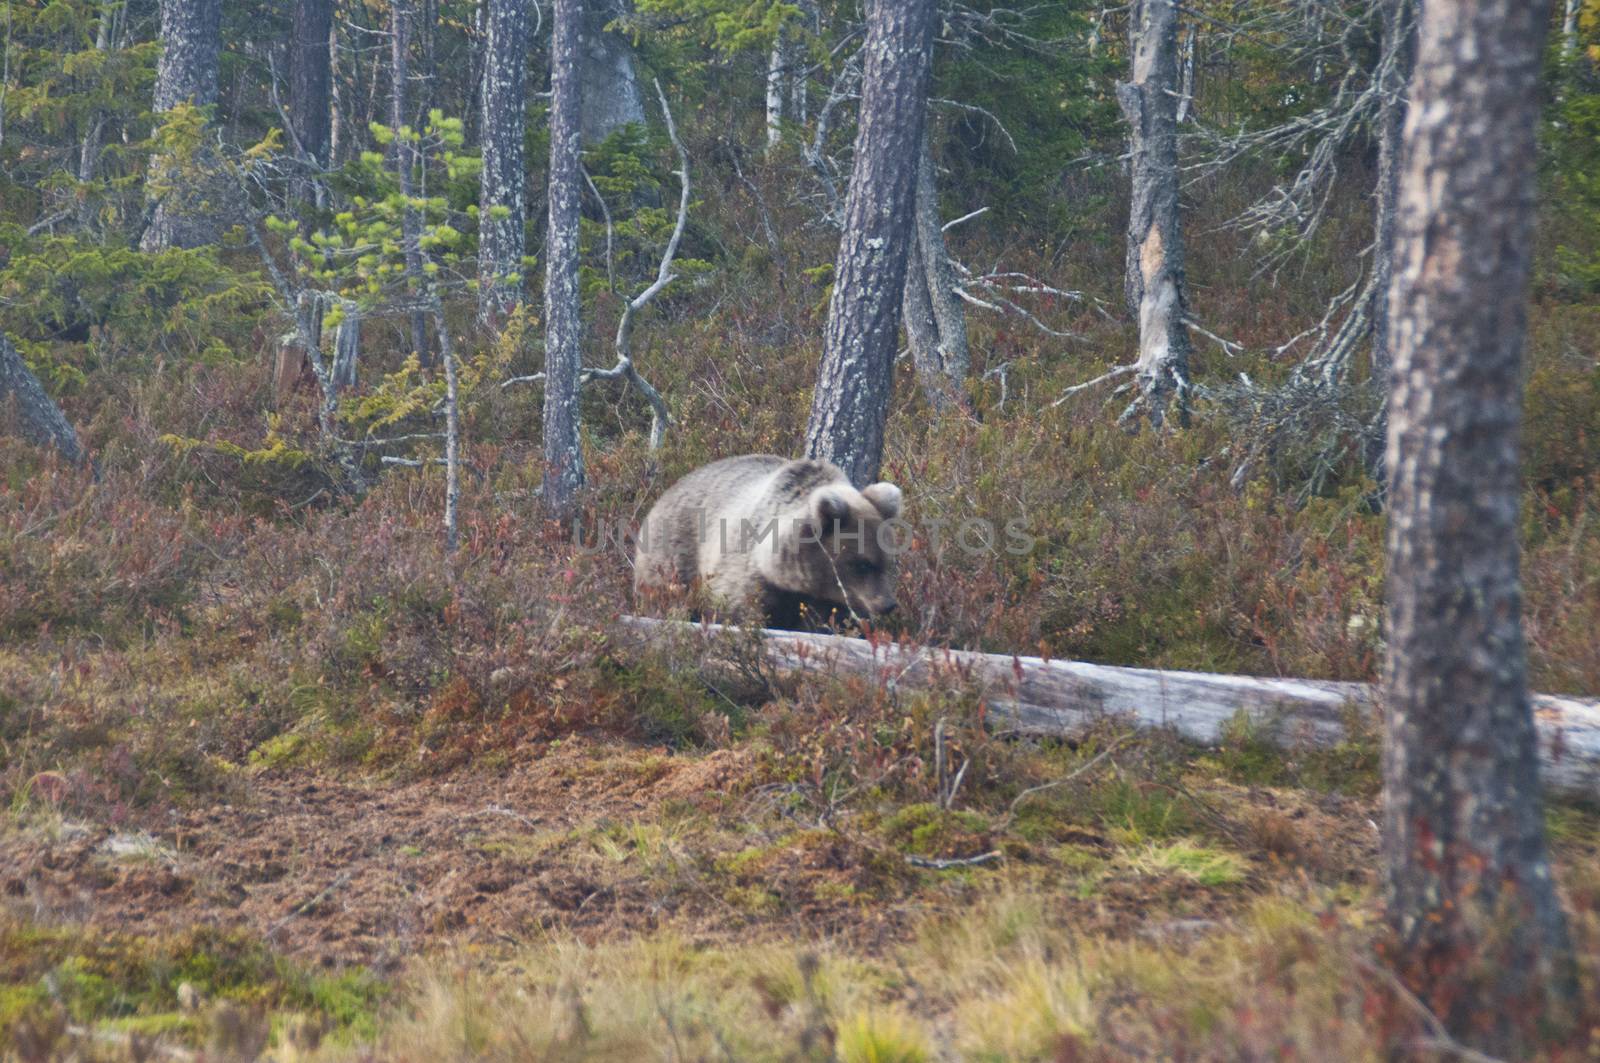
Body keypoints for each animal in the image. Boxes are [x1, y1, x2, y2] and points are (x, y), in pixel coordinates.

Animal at [633, 451, 908, 627]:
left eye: (887, 562)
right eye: (862, 564)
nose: (888, 604)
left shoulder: (830, 600)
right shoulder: (748, 575)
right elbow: (740, 609)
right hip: (672, 556)